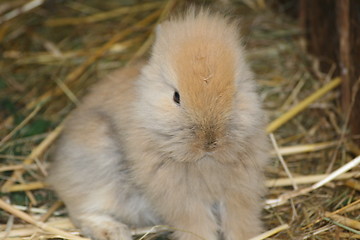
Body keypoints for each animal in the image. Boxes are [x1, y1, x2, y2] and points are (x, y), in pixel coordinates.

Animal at [47, 7, 268, 240]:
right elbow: (196, 225)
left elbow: (240, 220)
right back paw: (114, 231)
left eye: (235, 94)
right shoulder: (182, 199)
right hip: (99, 165)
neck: (205, 161)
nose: (209, 142)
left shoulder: (241, 191)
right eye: (176, 96)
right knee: (82, 210)